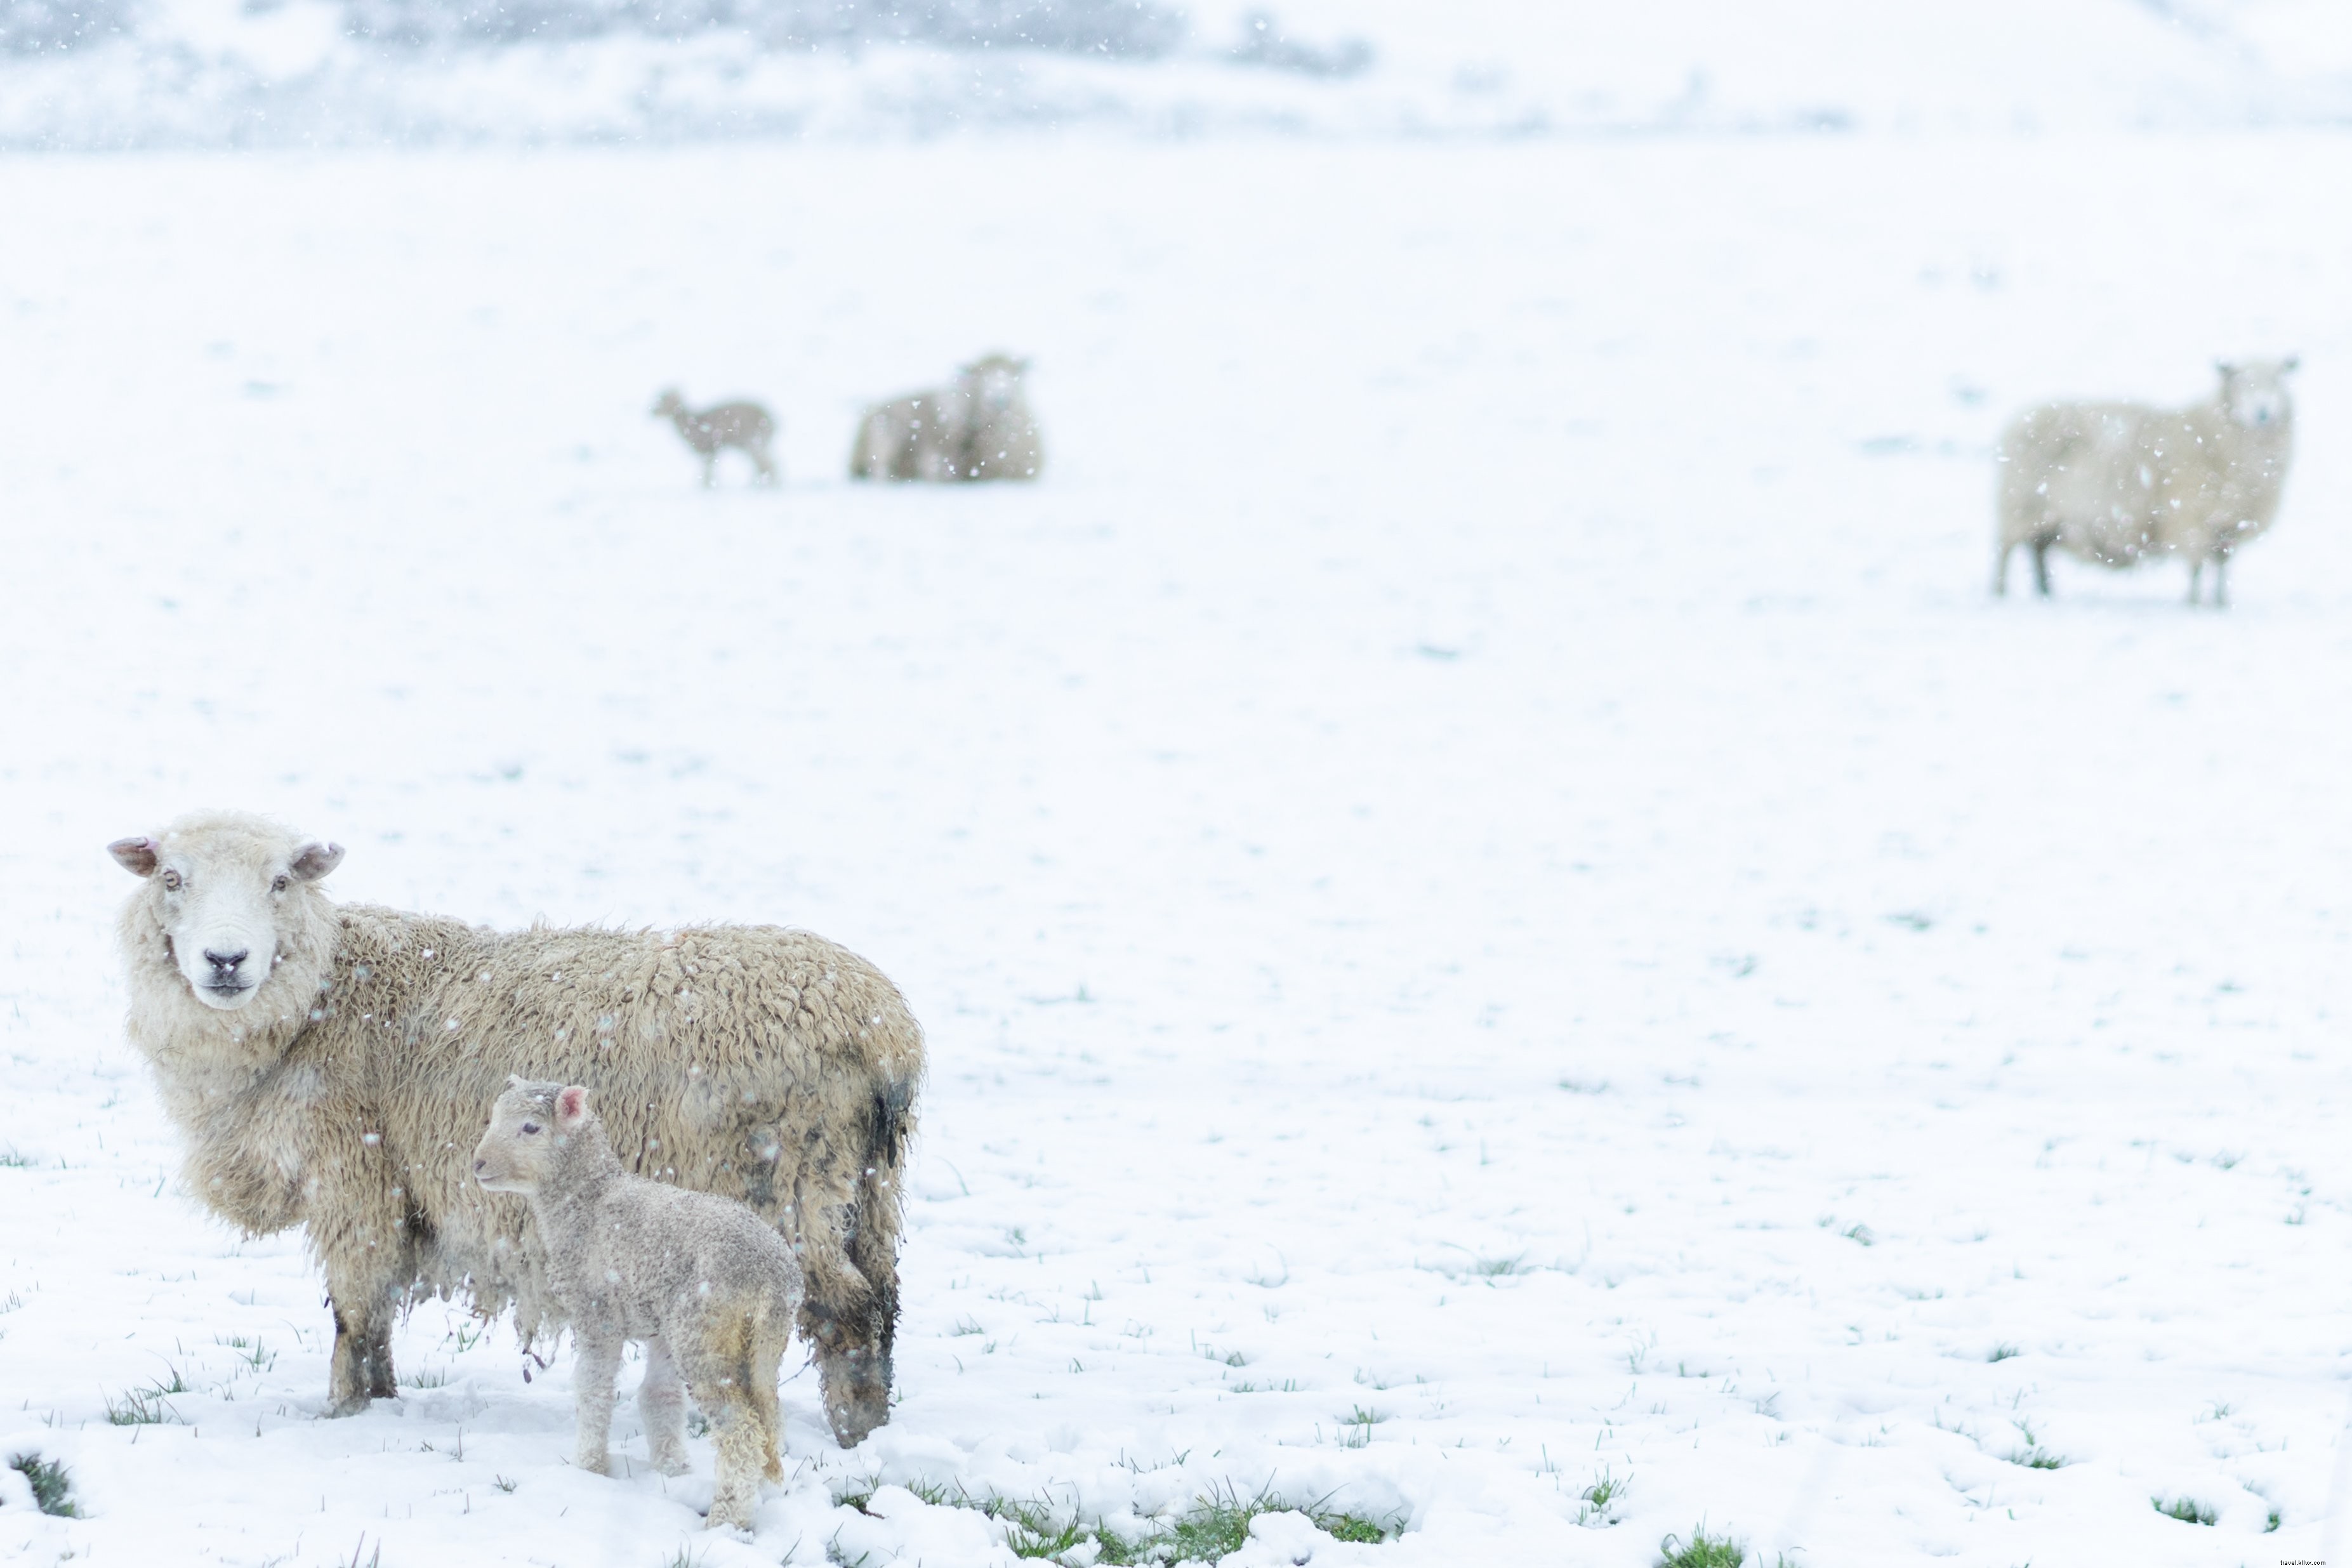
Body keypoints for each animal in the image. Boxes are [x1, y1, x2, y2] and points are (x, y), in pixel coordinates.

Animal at [110, 808, 922, 1448]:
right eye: (172, 878)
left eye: (281, 881)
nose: (225, 960)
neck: (318, 1000)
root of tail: (884, 1032)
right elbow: (376, 1315)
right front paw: (383, 1401)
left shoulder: (356, 1177)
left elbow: (355, 1309)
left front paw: (342, 1412)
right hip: (868, 1190)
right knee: (883, 1302)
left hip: (787, 1185)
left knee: (848, 1310)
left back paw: (854, 1439)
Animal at [472, 1081, 804, 1532]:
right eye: (494, 1117)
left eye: (531, 1128)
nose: (478, 1164)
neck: (587, 1200)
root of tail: (773, 1278)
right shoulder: (660, 1324)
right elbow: (660, 1397)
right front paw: (671, 1469)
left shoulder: (597, 1313)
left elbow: (593, 1390)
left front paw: (589, 1468)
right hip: (761, 1342)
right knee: (770, 1418)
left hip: (703, 1333)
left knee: (741, 1434)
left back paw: (724, 1521)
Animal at [654, 390, 781, 486]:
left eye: (664, 400)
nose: (652, 413)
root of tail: (774, 421)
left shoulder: (708, 449)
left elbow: (707, 474)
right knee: (766, 465)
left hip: (754, 441)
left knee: (767, 465)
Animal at [1985, 357, 2296, 606]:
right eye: (2241, 383)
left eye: (2278, 381)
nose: (2263, 412)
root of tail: (2019, 421)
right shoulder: (2191, 518)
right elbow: (2196, 567)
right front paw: (2194, 603)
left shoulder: (2228, 525)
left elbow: (2222, 568)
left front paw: (2221, 603)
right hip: (2018, 506)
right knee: (2005, 553)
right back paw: (2000, 592)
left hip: (2045, 518)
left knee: (2038, 552)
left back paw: (2046, 593)